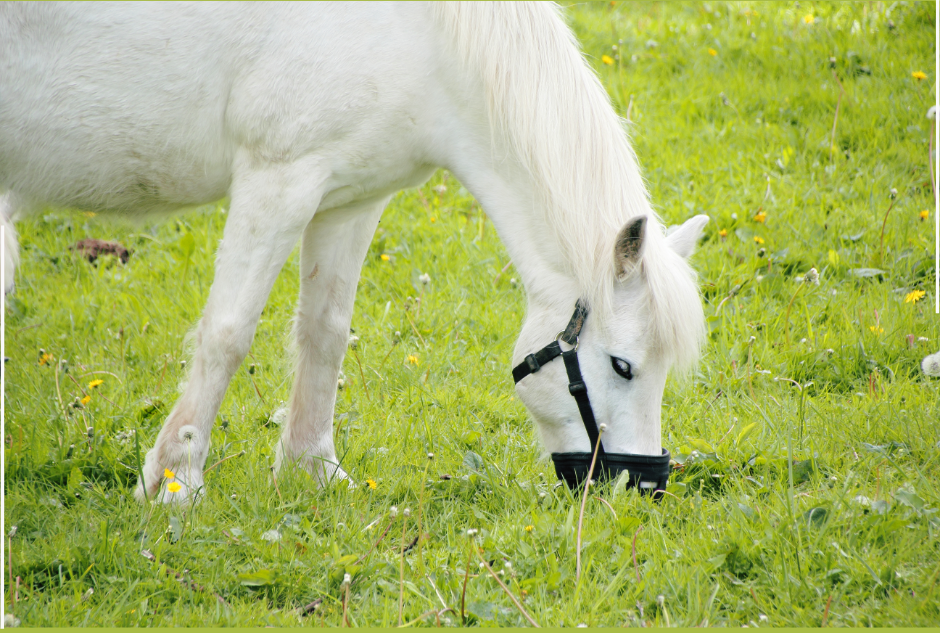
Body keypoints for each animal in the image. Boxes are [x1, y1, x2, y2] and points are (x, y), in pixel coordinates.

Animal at [0, 2, 704, 502]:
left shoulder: (350, 201)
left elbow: (326, 332)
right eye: (622, 366)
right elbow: (227, 334)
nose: (645, 486)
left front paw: (312, 468)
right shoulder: (278, 181)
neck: (420, 36)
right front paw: (175, 482)